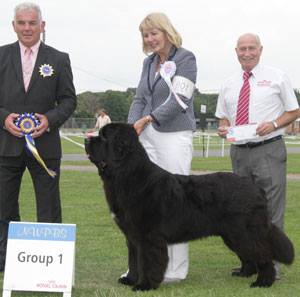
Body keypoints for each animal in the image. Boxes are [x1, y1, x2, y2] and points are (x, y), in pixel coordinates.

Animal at [84, 121, 292, 290]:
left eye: (104, 137)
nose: (87, 140)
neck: (128, 174)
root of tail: (255, 187)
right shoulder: (132, 235)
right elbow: (133, 259)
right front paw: (130, 280)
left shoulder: (148, 236)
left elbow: (147, 261)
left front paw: (144, 285)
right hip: (233, 234)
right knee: (249, 254)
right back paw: (244, 273)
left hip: (245, 231)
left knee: (263, 253)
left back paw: (263, 282)